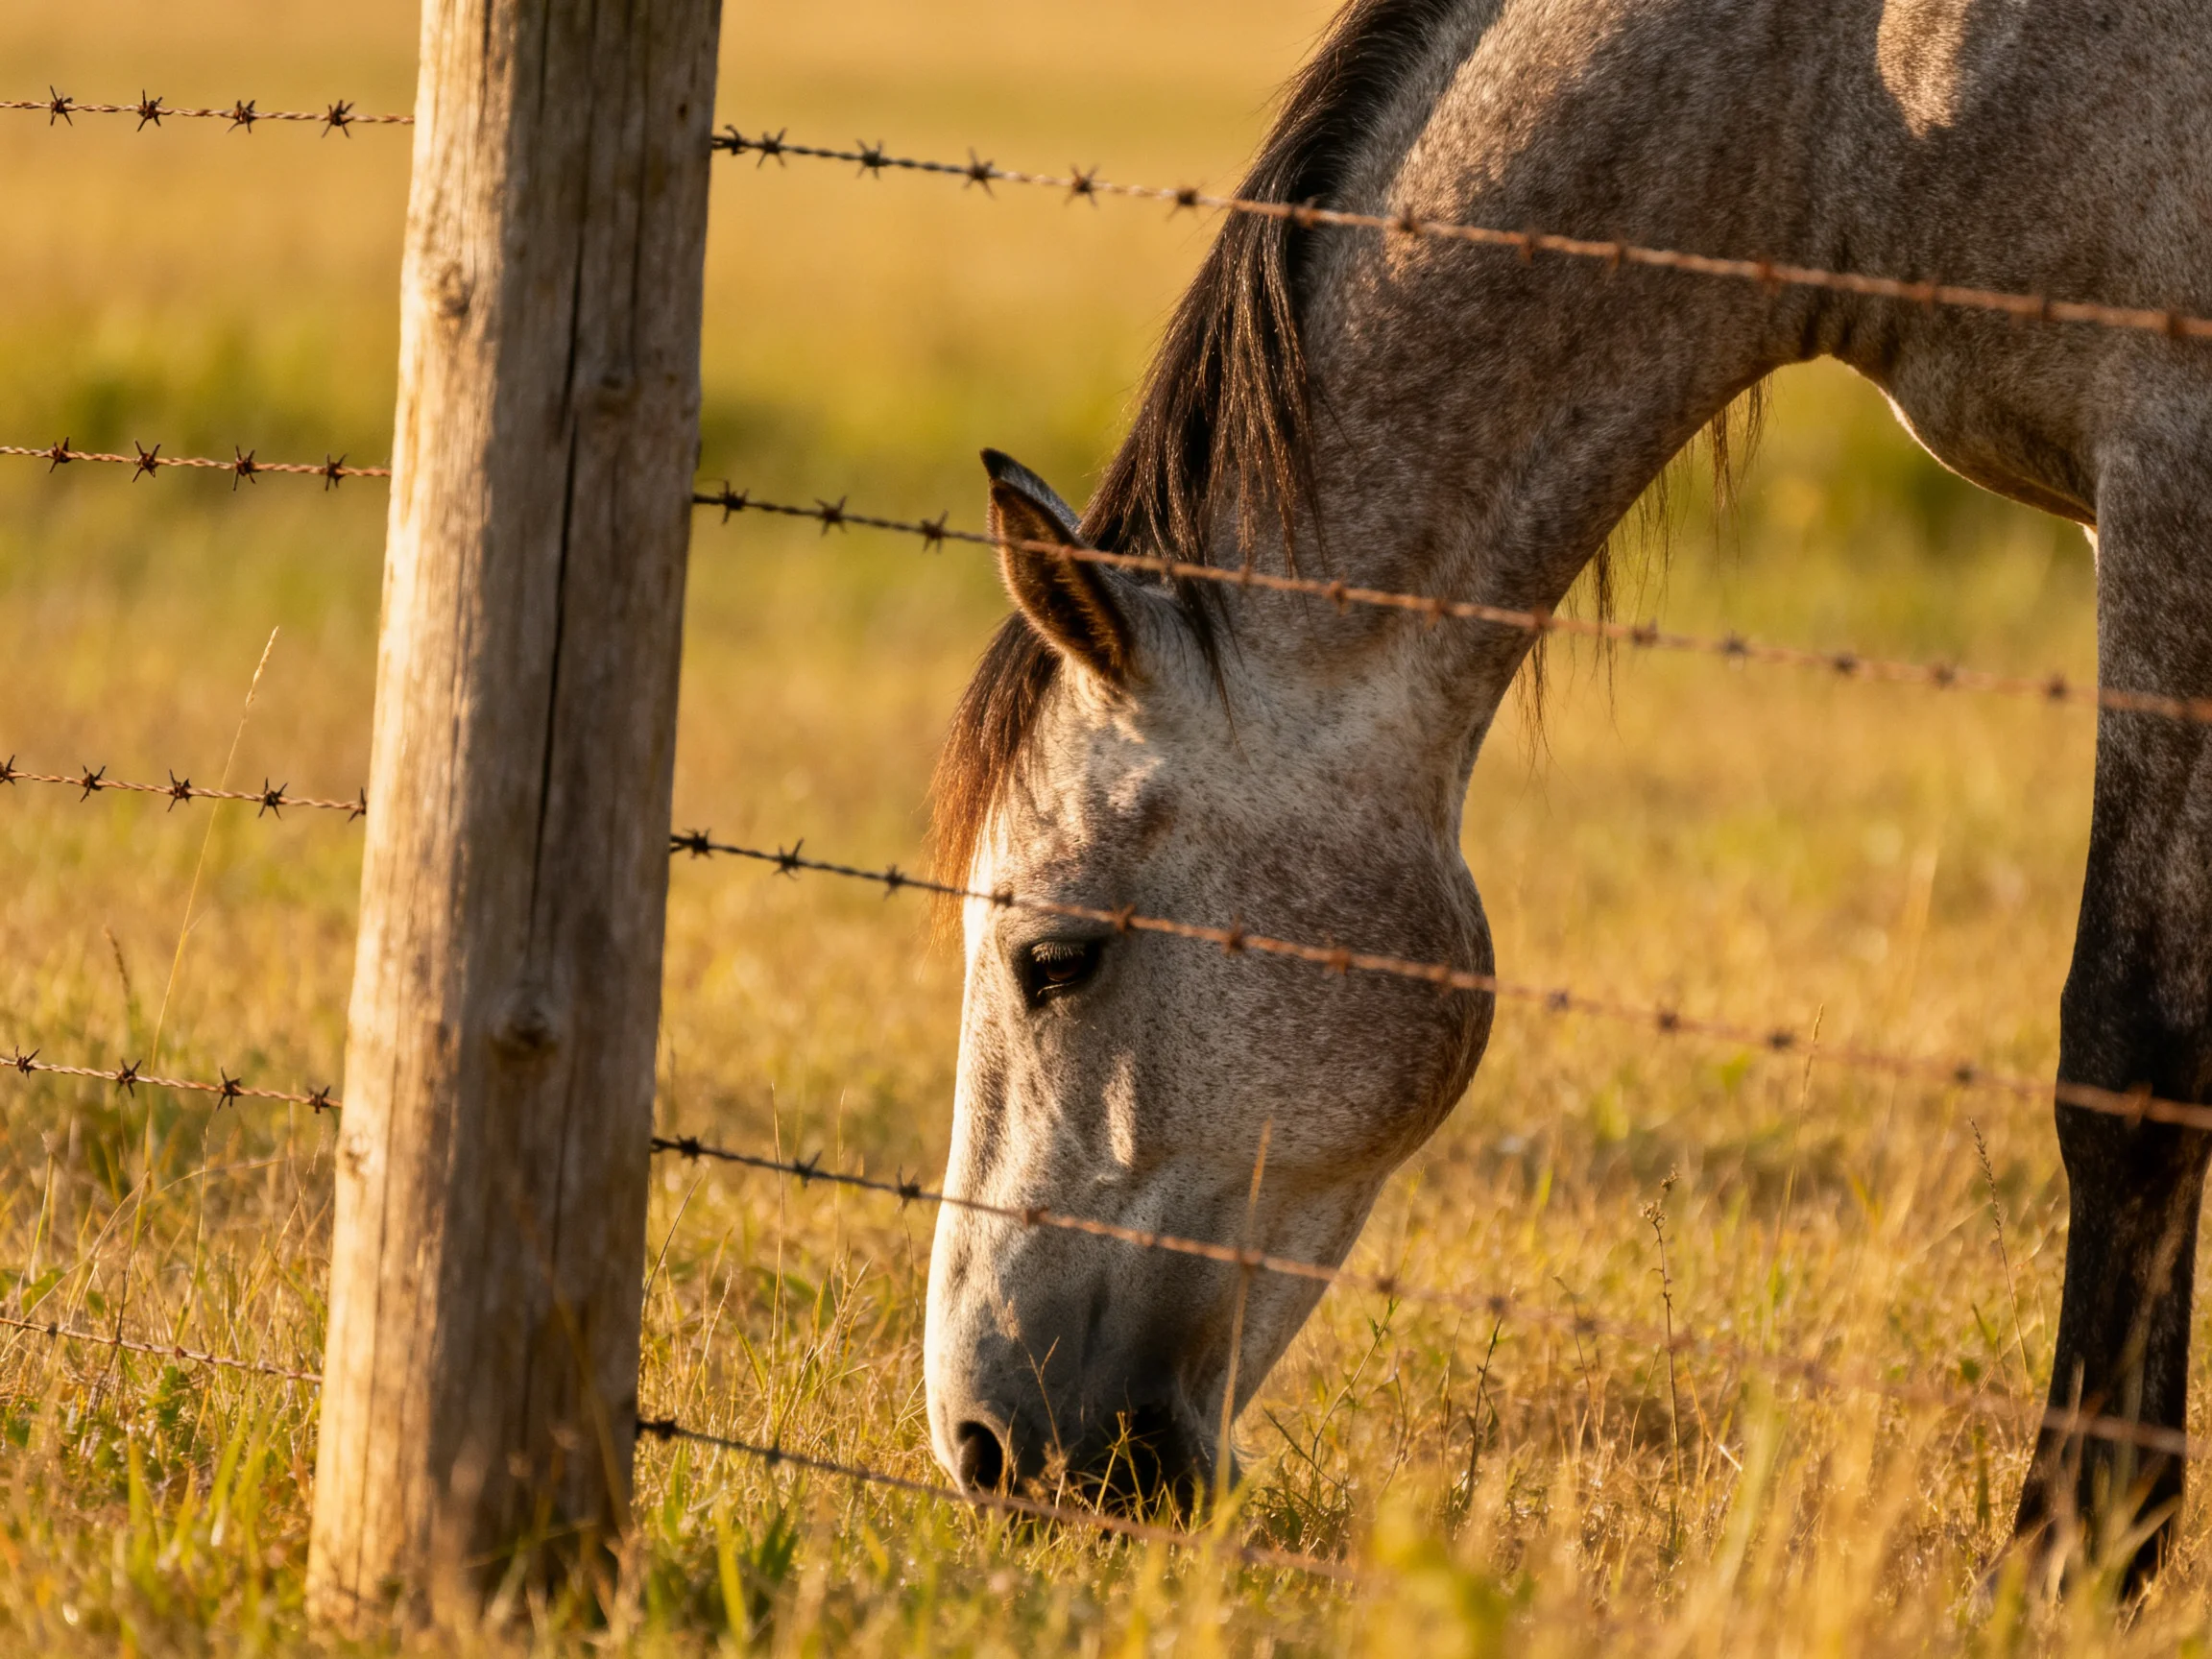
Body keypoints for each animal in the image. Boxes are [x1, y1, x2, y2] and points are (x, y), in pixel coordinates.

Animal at [920, 0, 2212, 1584]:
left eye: (1055, 959)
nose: (984, 1448)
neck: (1848, 88)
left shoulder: (2169, 455)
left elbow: (2131, 1054)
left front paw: (2066, 1559)